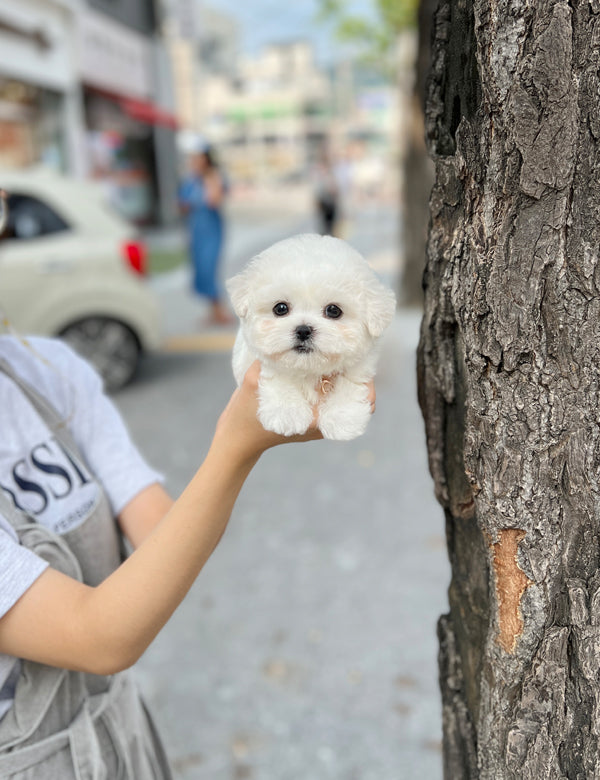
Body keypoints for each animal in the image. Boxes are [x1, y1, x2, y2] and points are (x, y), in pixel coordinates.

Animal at [227, 232, 396, 438]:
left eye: (333, 310)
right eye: (280, 308)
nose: (303, 330)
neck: (308, 369)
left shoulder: (361, 365)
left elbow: (350, 380)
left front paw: (343, 420)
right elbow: (278, 374)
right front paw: (287, 413)